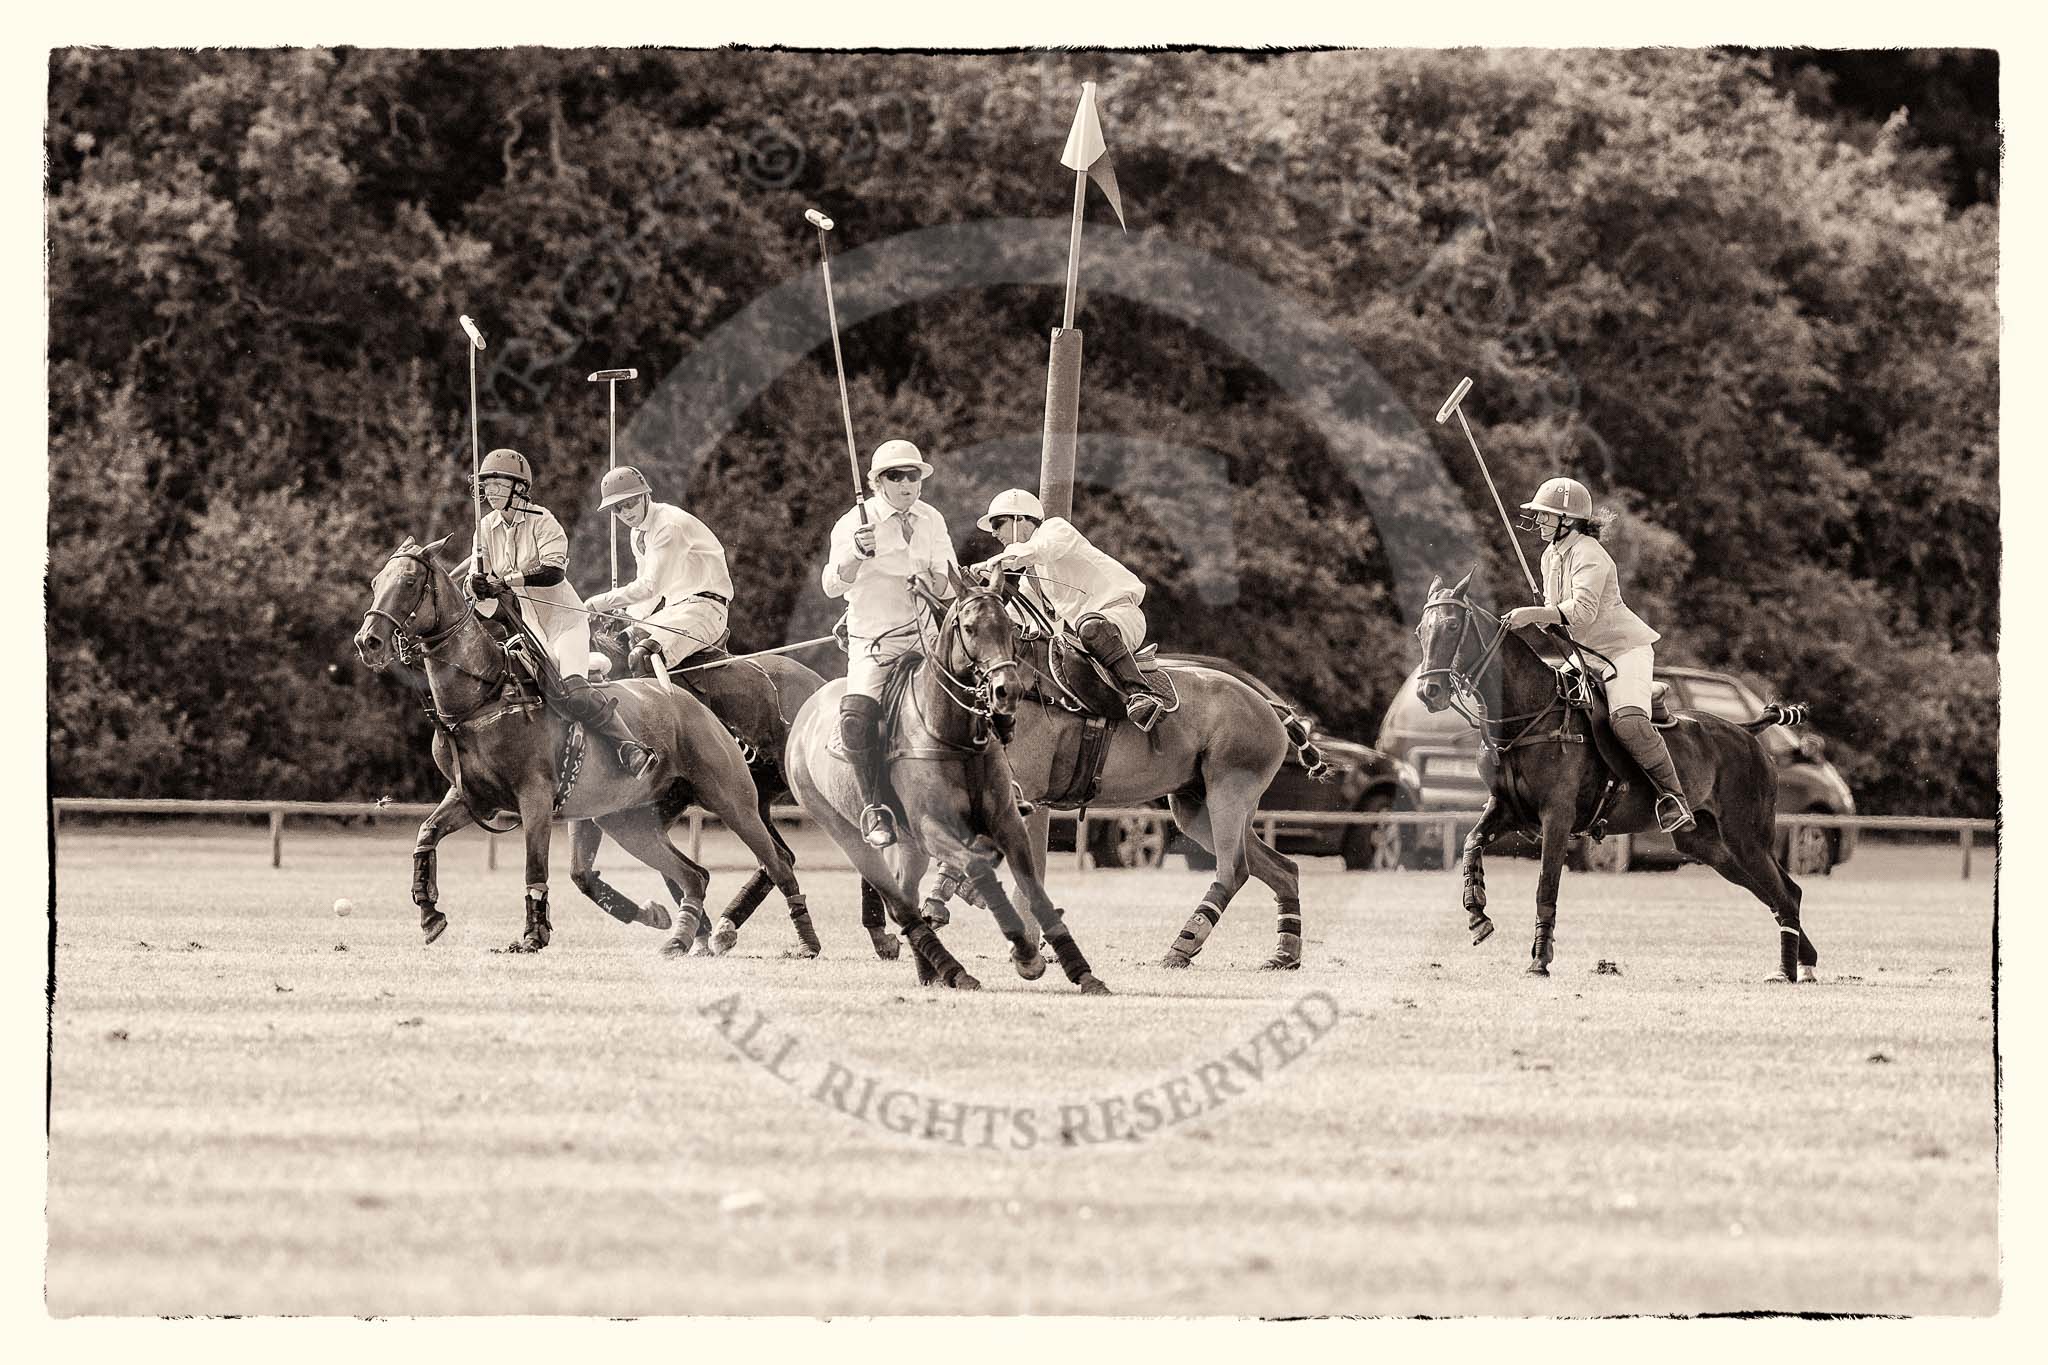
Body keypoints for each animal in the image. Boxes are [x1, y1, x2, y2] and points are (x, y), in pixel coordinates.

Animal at [356, 540, 802, 957]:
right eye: (376, 582)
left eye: (409, 582)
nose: (368, 641)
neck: (483, 697)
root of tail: (693, 704)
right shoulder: (474, 798)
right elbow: (427, 833)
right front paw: (429, 912)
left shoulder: (535, 797)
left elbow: (536, 866)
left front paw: (534, 935)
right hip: (630, 821)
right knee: (695, 874)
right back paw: (683, 936)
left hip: (733, 800)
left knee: (775, 861)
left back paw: (794, 940)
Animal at [782, 573, 1114, 998]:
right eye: (969, 628)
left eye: (1008, 628)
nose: (1007, 690)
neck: (955, 734)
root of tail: (805, 712)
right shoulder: (933, 827)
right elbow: (977, 866)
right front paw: (1025, 951)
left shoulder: (1008, 820)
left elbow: (1032, 886)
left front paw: (1082, 972)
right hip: (845, 830)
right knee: (898, 902)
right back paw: (953, 970)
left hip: (908, 842)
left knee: (906, 891)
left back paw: (931, 971)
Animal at [1417, 573, 1818, 982]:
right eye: (1421, 630)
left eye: (1452, 626)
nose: (1428, 691)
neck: (1527, 718)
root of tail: (1748, 731)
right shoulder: (1506, 809)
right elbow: (1471, 843)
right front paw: (1477, 914)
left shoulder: (1557, 817)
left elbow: (1546, 887)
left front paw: (1539, 960)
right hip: (1710, 845)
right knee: (1780, 892)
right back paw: (1804, 963)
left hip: (1746, 836)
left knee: (1785, 893)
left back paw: (1786, 970)